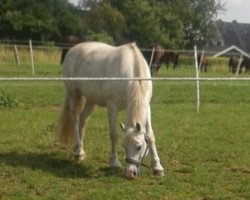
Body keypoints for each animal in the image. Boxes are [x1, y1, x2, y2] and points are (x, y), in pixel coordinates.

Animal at [58, 41, 164, 179]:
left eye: (139, 147)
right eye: (124, 146)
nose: (130, 173)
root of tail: (72, 50)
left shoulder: (147, 106)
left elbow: (151, 135)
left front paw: (157, 167)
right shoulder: (112, 107)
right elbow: (114, 134)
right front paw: (114, 163)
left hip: (91, 101)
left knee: (82, 121)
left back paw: (80, 150)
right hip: (74, 94)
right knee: (75, 119)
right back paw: (78, 153)